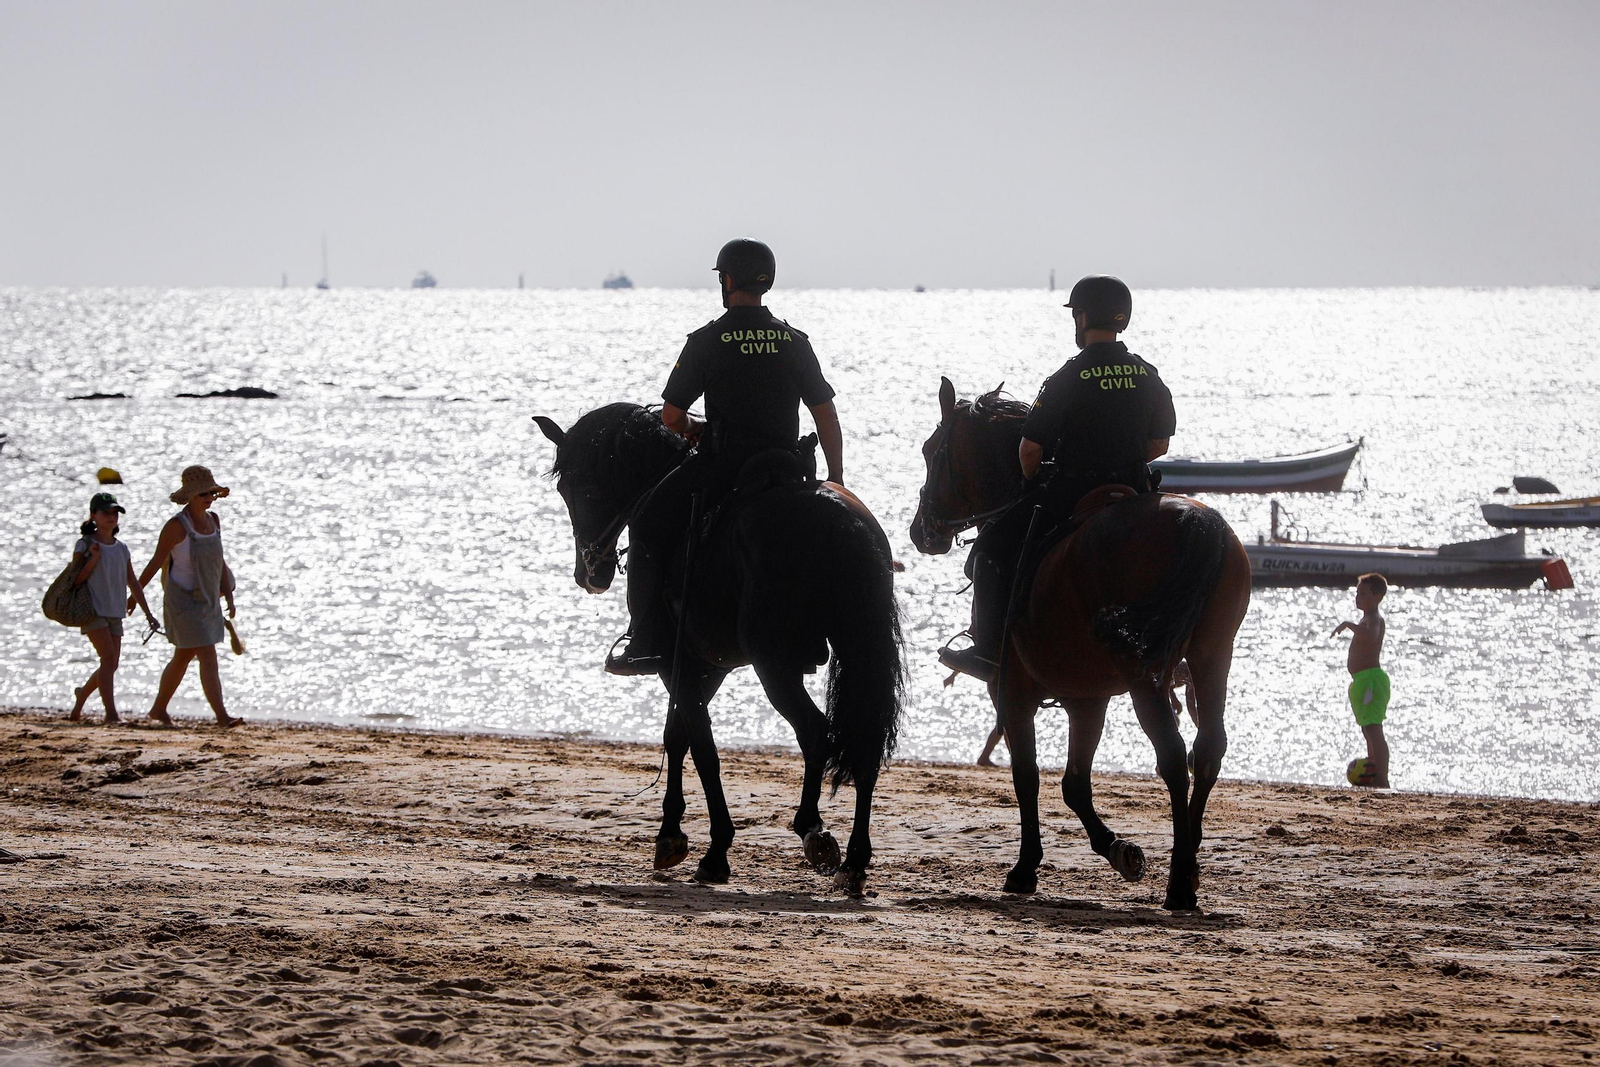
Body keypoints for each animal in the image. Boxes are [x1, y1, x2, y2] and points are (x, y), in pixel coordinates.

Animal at [535, 403, 905, 895]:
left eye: (577, 487)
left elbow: (702, 747)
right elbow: (679, 736)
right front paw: (670, 834)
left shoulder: (676, 664)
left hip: (775, 665)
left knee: (814, 733)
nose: (589, 572)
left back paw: (812, 830)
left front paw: (713, 851)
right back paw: (856, 860)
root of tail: (835, 519)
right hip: (855, 653)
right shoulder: (708, 665)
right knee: (864, 744)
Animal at [909, 378, 1252, 911]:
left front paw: (1025, 868)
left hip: (1144, 676)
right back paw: (1191, 864)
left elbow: (1028, 776)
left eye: (931, 450)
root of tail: (1191, 521)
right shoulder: (1086, 698)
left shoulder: (1011, 693)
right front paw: (1118, 850)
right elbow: (1074, 784)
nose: (920, 531)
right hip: (1212, 657)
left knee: (1174, 757)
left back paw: (1178, 882)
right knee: (1208, 749)